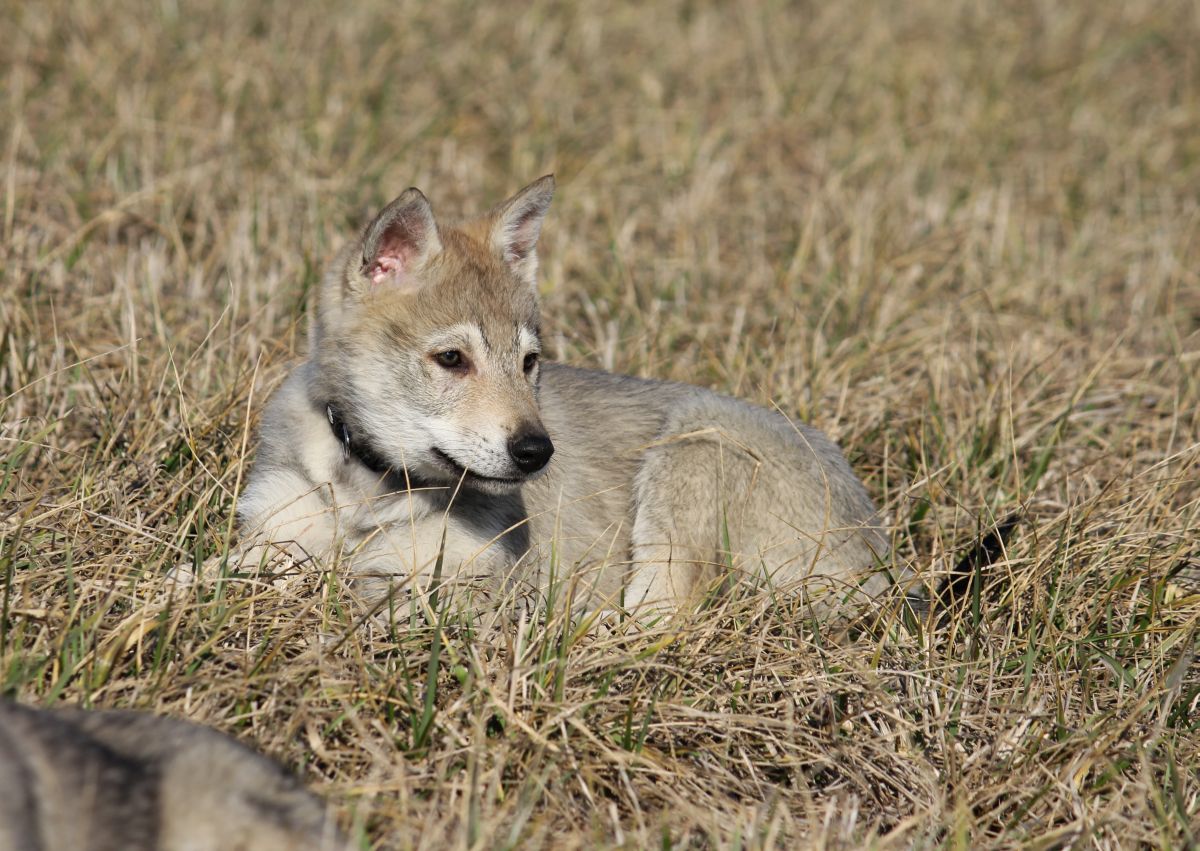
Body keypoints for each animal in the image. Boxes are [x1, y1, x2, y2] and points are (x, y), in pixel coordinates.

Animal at [236, 176, 892, 609]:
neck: (368, 493)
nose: (536, 452)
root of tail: (884, 562)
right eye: (452, 360)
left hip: (692, 451)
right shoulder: (267, 537)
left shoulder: (469, 583)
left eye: (530, 362)